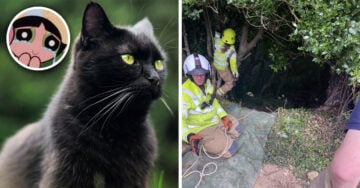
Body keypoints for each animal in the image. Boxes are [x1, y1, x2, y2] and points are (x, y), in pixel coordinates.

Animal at [0, 2, 166, 187]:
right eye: (129, 58)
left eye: (159, 63)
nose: (154, 78)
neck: (114, 127)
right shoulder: (64, 173)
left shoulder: (133, 177)